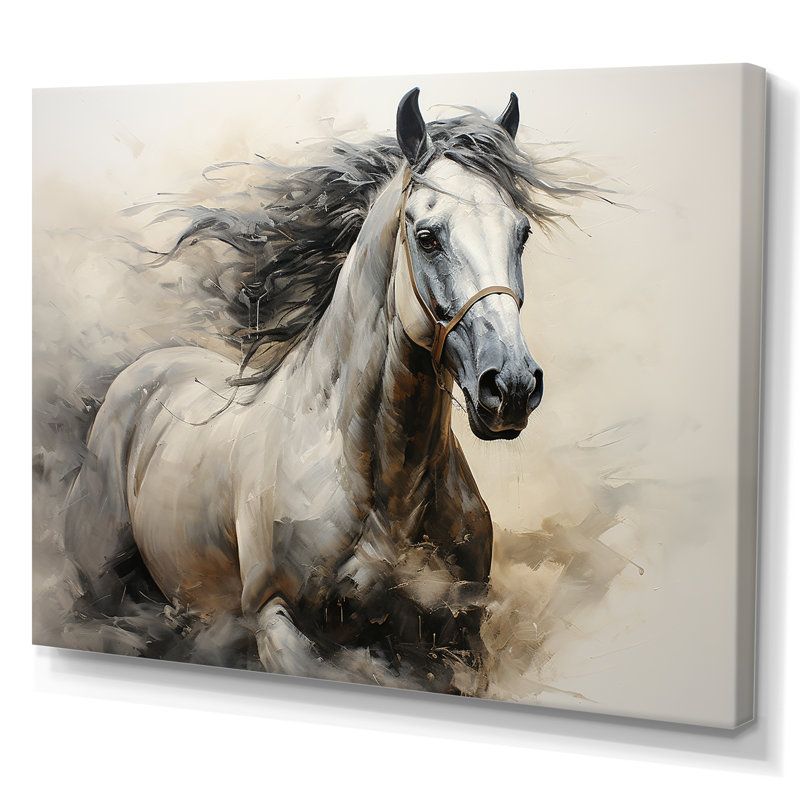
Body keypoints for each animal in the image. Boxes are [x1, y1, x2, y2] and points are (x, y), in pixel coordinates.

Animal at [64, 88, 579, 693]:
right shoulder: (278, 624)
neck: (383, 492)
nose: (512, 386)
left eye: (521, 233)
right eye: (427, 237)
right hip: (101, 596)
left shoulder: (457, 643)